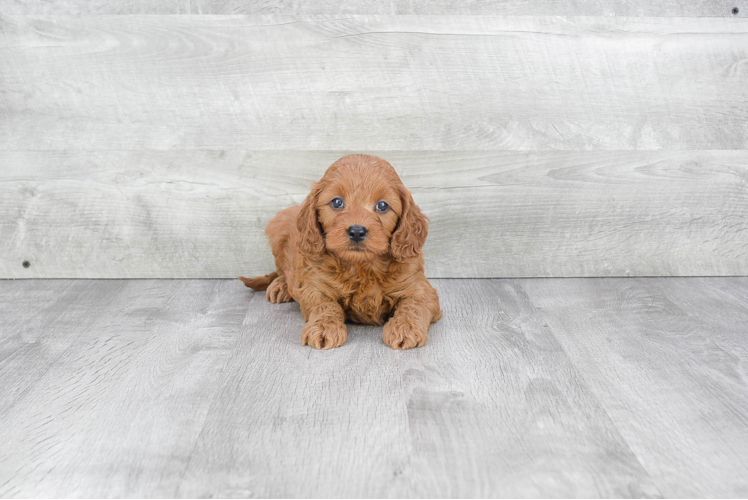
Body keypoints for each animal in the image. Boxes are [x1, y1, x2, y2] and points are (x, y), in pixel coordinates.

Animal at [240, 154, 442, 350]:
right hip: (278, 227)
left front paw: (405, 327)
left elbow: (414, 304)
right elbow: (325, 305)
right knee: (282, 271)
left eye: (383, 206)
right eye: (337, 202)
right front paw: (324, 327)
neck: (362, 267)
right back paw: (281, 286)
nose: (357, 231)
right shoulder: (315, 287)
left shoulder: (419, 286)